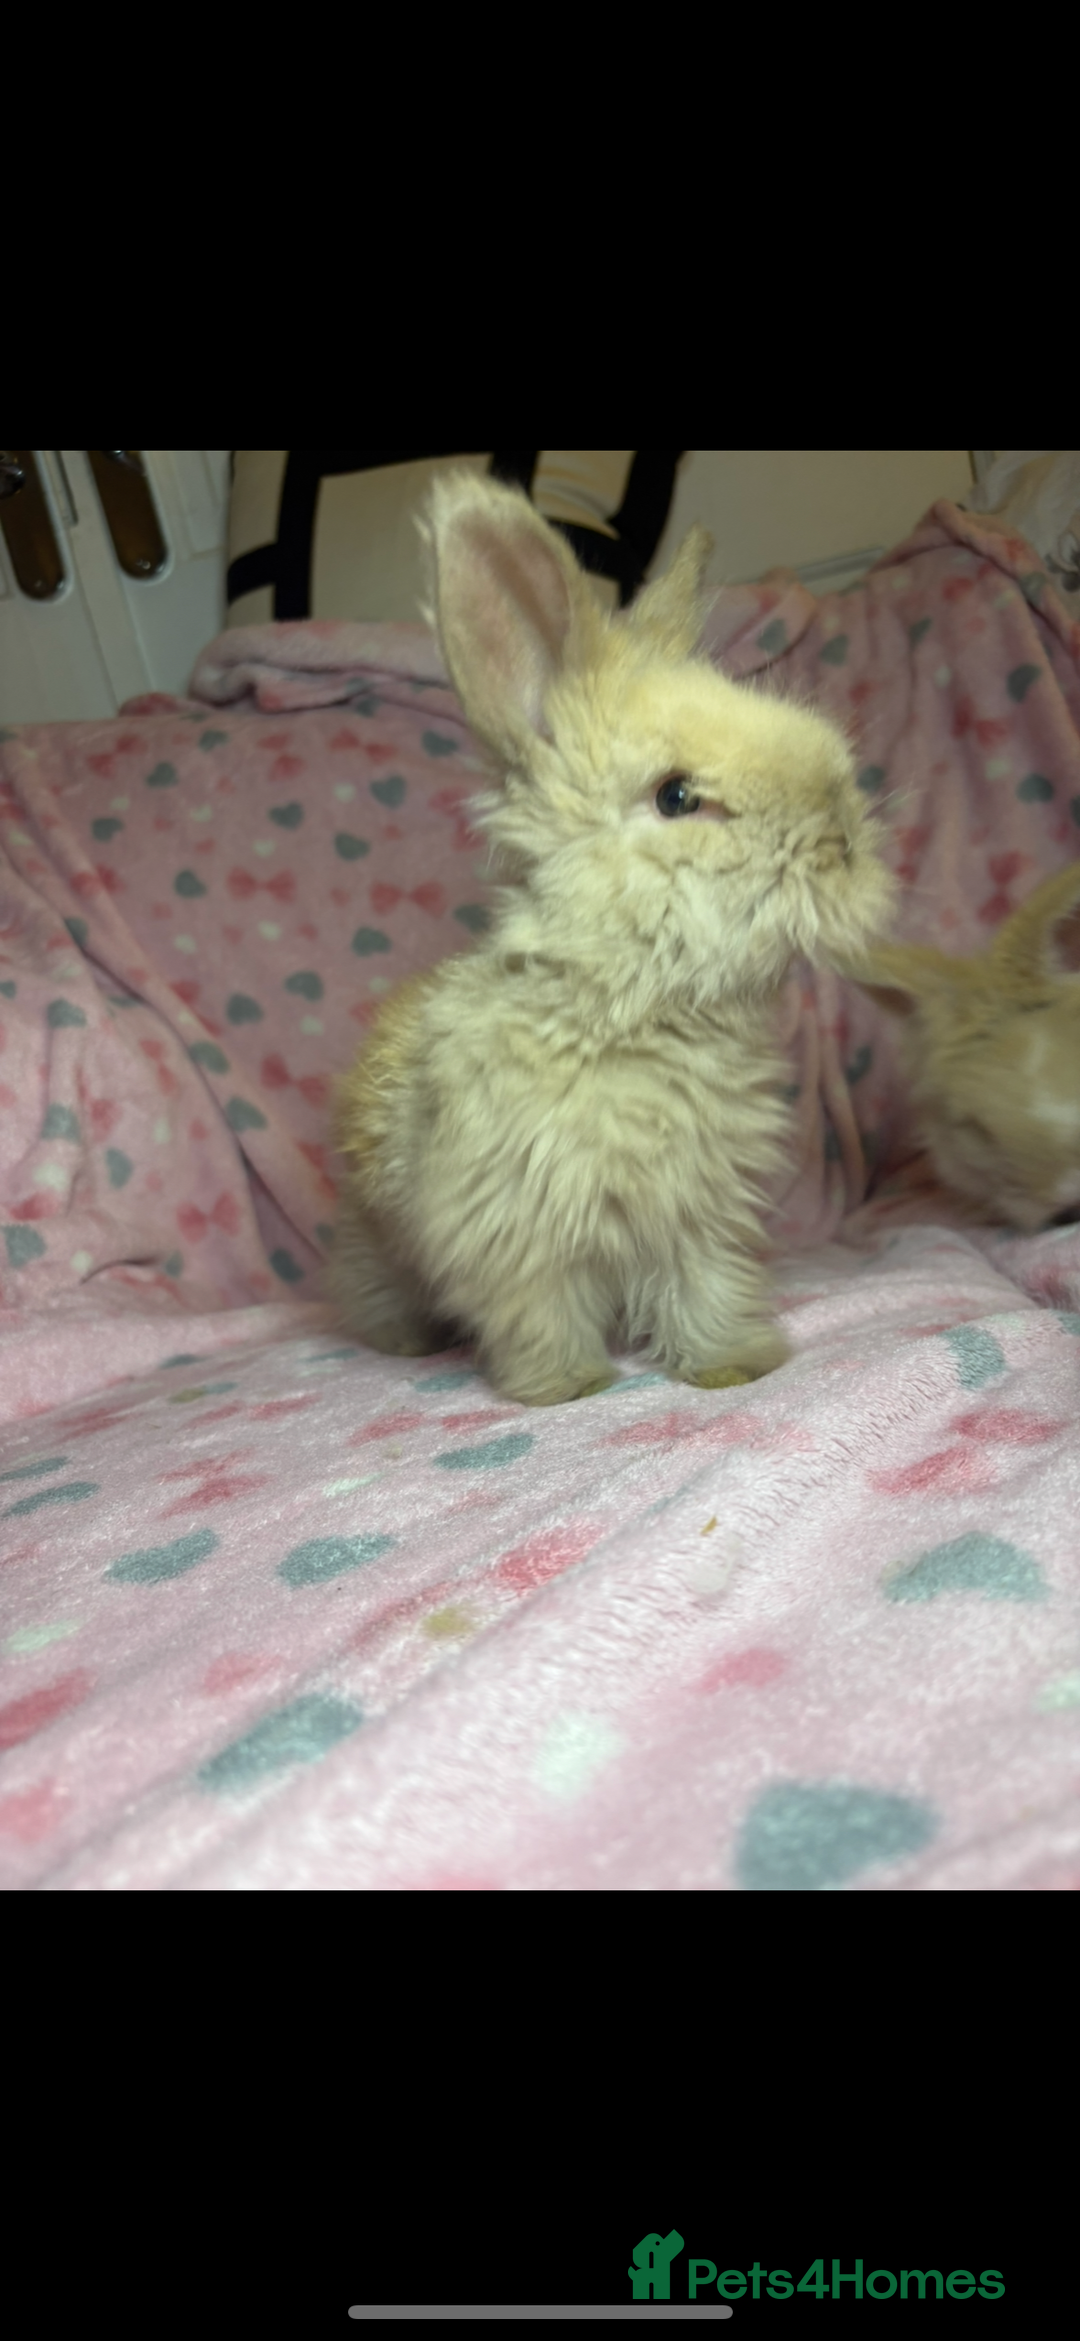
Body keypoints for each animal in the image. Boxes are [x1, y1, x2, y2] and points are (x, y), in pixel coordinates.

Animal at [329, 472, 895, 1405]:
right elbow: (542, 1316)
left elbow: (706, 1289)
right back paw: (404, 1341)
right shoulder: (518, 1236)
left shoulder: (699, 1214)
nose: (843, 841)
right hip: (373, 1245)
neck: (630, 1009)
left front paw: (732, 1366)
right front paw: (566, 1388)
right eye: (675, 797)